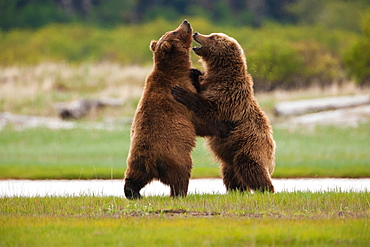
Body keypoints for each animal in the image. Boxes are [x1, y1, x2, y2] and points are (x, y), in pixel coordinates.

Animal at [124, 20, 228, 199]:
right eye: (174, 32)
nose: (185, 22)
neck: (175, 70)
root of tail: (150, 159)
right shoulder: (180, 96)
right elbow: (200, 119)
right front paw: (223, 127)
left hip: (136, 161)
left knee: (134, 177)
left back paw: (133, 192)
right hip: (175, 155)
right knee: (181, 175)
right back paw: (180, 193)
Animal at [173, 31, 274, 193]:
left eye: (212, 37)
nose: (196, 33)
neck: (221, 74)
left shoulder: (230, 94)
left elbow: (211, 108)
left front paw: (181, 92)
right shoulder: (210, 83)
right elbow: (201, 88)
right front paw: (194, 72)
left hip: (249, 146)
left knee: (251, 167)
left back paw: (265, 189)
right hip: (229, 158)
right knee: (231, 174)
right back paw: (236, 190)